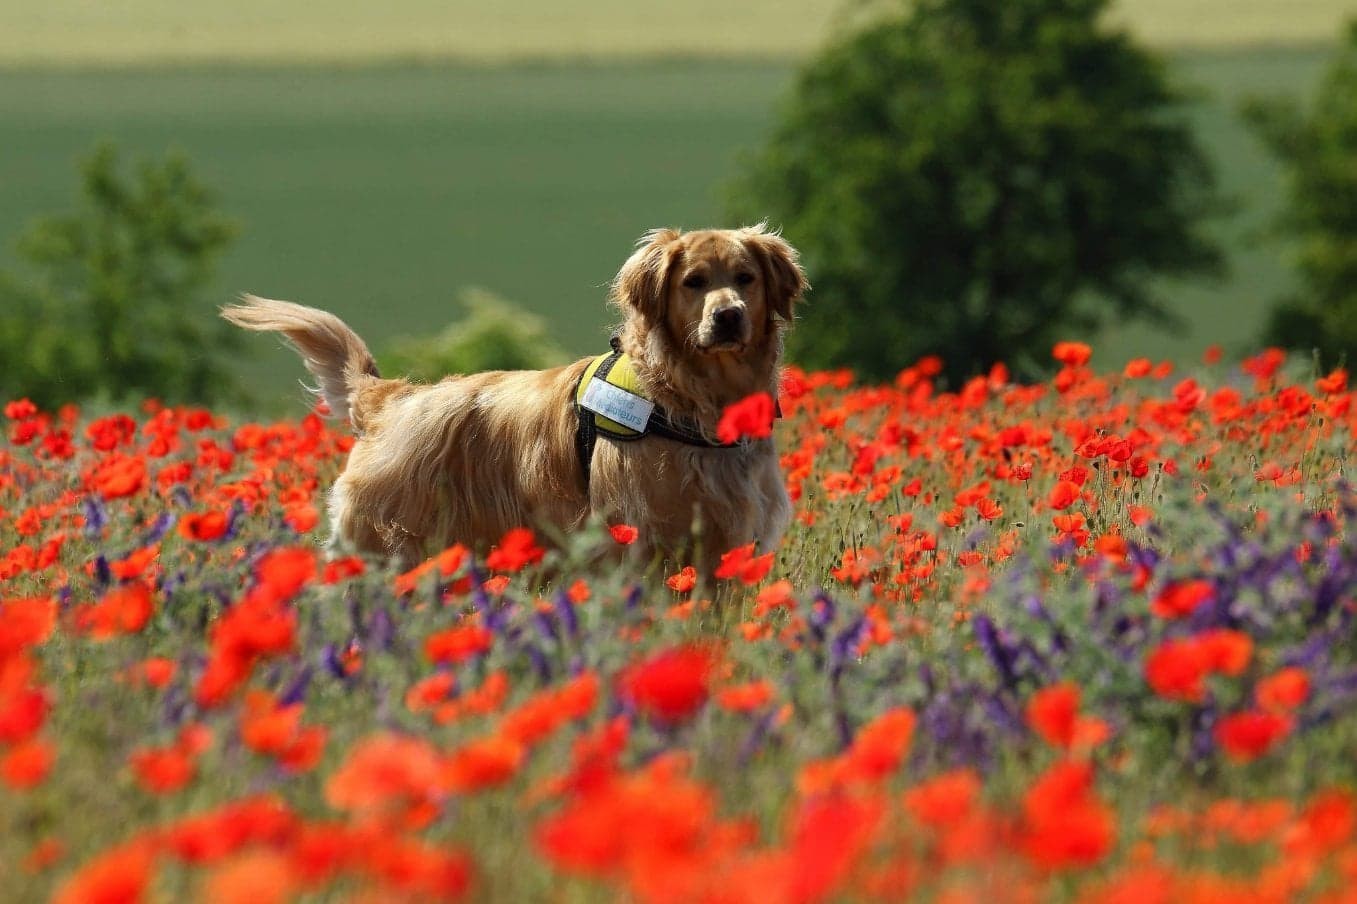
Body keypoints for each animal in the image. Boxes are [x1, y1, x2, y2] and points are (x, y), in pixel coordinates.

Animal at [225, 221, 803, 567]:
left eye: (746, 278)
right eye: (693, 281)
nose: (727, 317)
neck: (690, 400)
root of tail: (393, 399)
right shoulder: (636, 539)